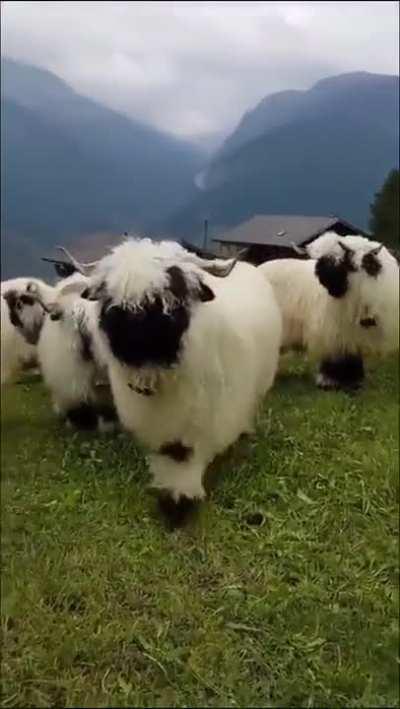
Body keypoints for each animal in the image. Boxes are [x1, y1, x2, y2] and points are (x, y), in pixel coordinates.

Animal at [78, 237, 282, 526]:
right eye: (110, 295)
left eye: (171, 290)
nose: (134, 338)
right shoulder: (159, 425)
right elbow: (167, 455)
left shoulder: (200, 422)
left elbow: (187, 457)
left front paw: (181, 500)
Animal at [259, 231, 399, 391]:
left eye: (341, 261)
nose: (328, 285)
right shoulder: (334, 331)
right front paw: (330, 382)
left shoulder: (353, 333)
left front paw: (353, 382)